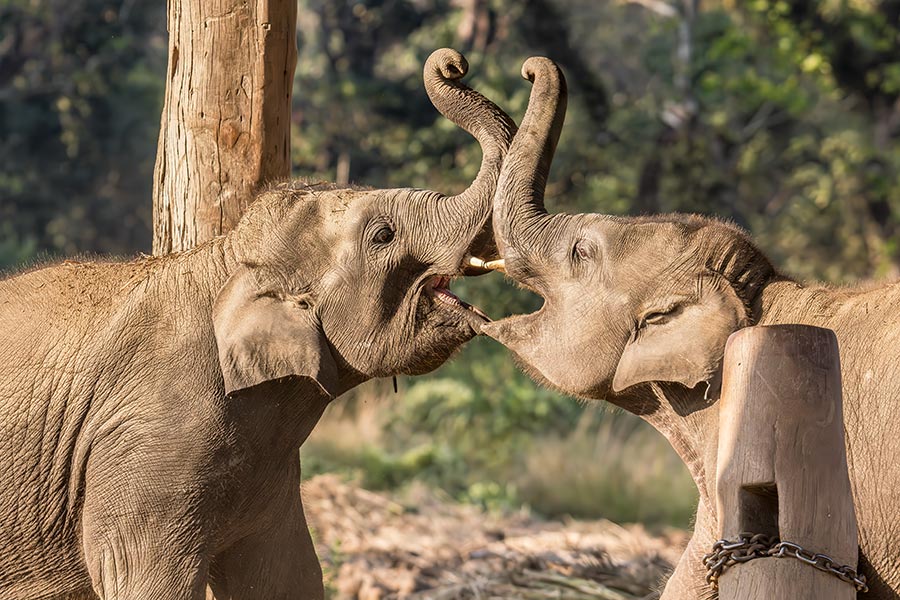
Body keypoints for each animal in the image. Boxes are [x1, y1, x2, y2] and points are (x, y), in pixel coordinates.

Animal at [0, 48, 515, 600]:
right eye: (383, 235)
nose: (453, 64)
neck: (226, 260)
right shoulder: (144, 449)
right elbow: (149, 578)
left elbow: (287, 576)